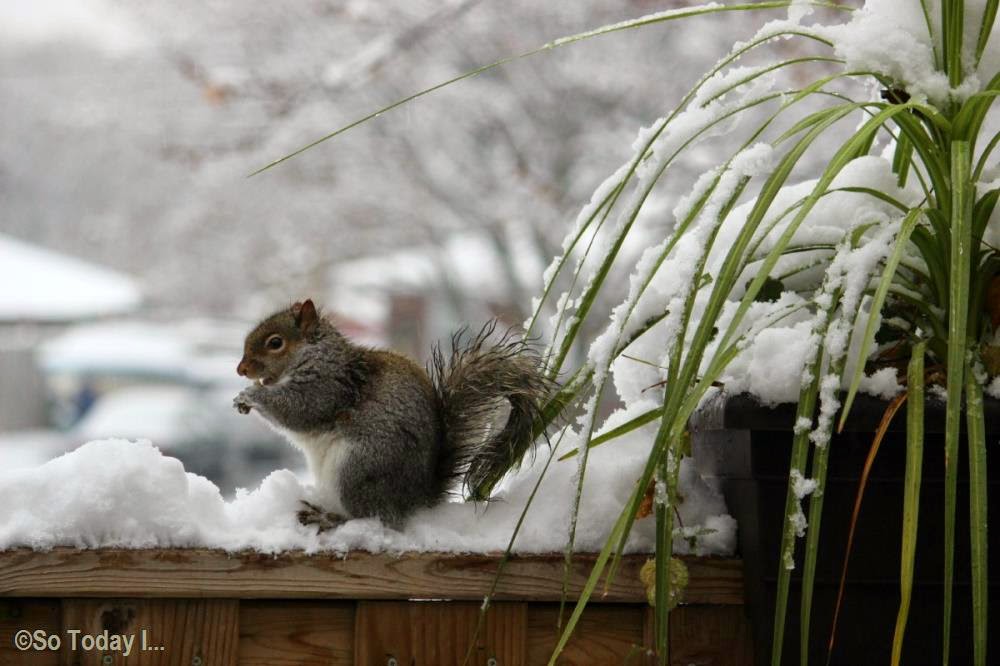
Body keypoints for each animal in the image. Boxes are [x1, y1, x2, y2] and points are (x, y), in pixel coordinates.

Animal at [233, 299, 552, 530]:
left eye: (275, 343)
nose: (241, 369)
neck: (318, 357)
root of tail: (415, 499)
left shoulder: (328, 389)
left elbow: (298, 410)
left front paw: (250, 395)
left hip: (356, 468)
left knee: (373, 516)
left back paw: (329, 518)